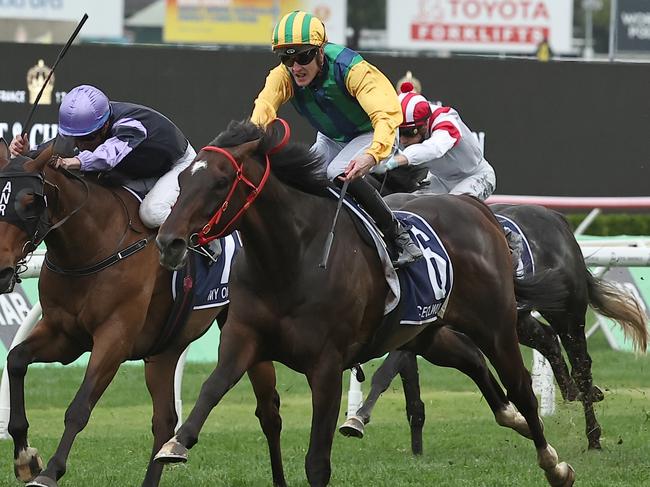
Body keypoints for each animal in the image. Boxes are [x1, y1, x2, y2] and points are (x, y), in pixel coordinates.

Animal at [0, 139, 284, 487]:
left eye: (30, 201)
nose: (2, 270)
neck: (93, 245)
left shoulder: (115, 336)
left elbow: (80, 407)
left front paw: (51, 471)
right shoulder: (64, 334)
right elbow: (16, 359)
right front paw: (24, 456)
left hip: (249, 331)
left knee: (269, 413)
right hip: (166, 349)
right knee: (164, 420)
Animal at [154, 119, 576, 487]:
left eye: (220, 181)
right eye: (183, 178)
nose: (168, 241)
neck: (291, 259)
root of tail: (479, 211)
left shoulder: (326, 364)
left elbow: (317, 462)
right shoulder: (244, 337)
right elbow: (212, 387)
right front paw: (176, 443)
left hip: (495, 324)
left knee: (521, 387)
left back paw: (554, 464)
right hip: (426, 332)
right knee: (472, 360)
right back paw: (512, 418)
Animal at [336, 200, 644, 452]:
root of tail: (556, 217)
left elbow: (387, 371)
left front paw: (357, 418)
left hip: (567, 312)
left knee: (581, 364)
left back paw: (593, 434)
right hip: (513, 321)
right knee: (547, 338)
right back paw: (572, 392)